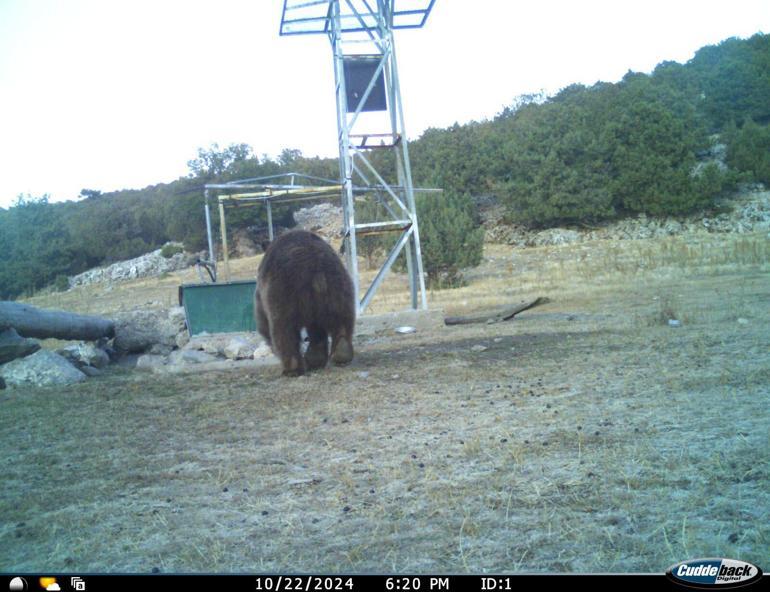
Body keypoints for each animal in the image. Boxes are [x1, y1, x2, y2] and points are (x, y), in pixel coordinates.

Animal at [256, 229, 356, 376]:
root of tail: (316, 269)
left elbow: (263, 321)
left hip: (283, 292)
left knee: (283, 329)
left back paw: (291, 368)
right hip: (338, 288)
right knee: (340, 320)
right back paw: (340, 354)